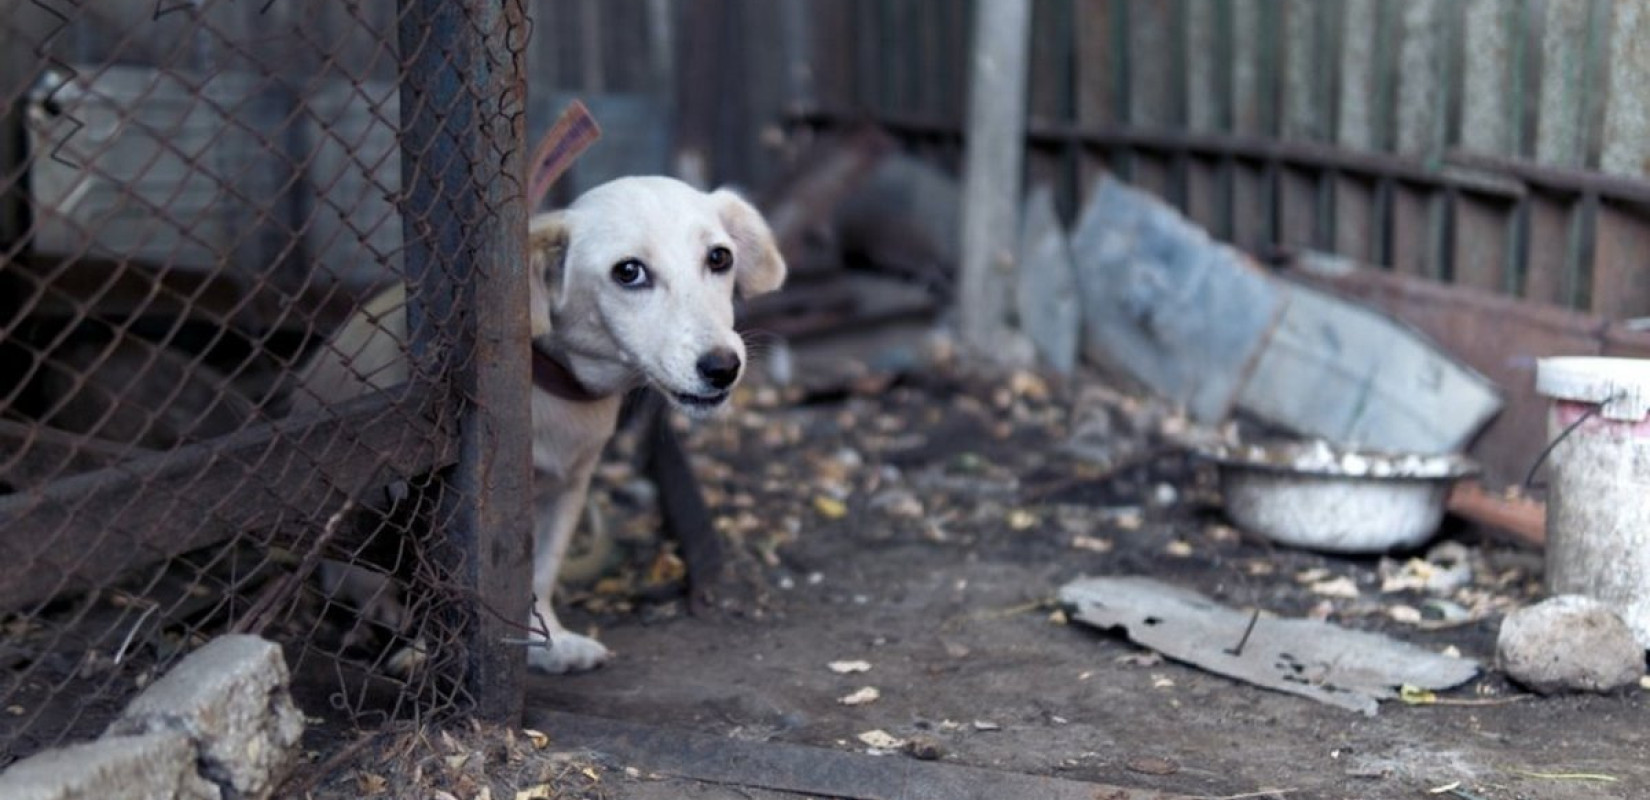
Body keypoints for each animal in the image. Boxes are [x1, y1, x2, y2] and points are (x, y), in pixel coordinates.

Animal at [290, 176, 785, 672]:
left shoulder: (567, 489)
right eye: (629, 272)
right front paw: (429, 654)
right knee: (348, 577)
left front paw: (547, 643)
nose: (723, 367)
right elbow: (437, 585)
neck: (551, 388)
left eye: (719, 258)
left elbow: (541, 571)